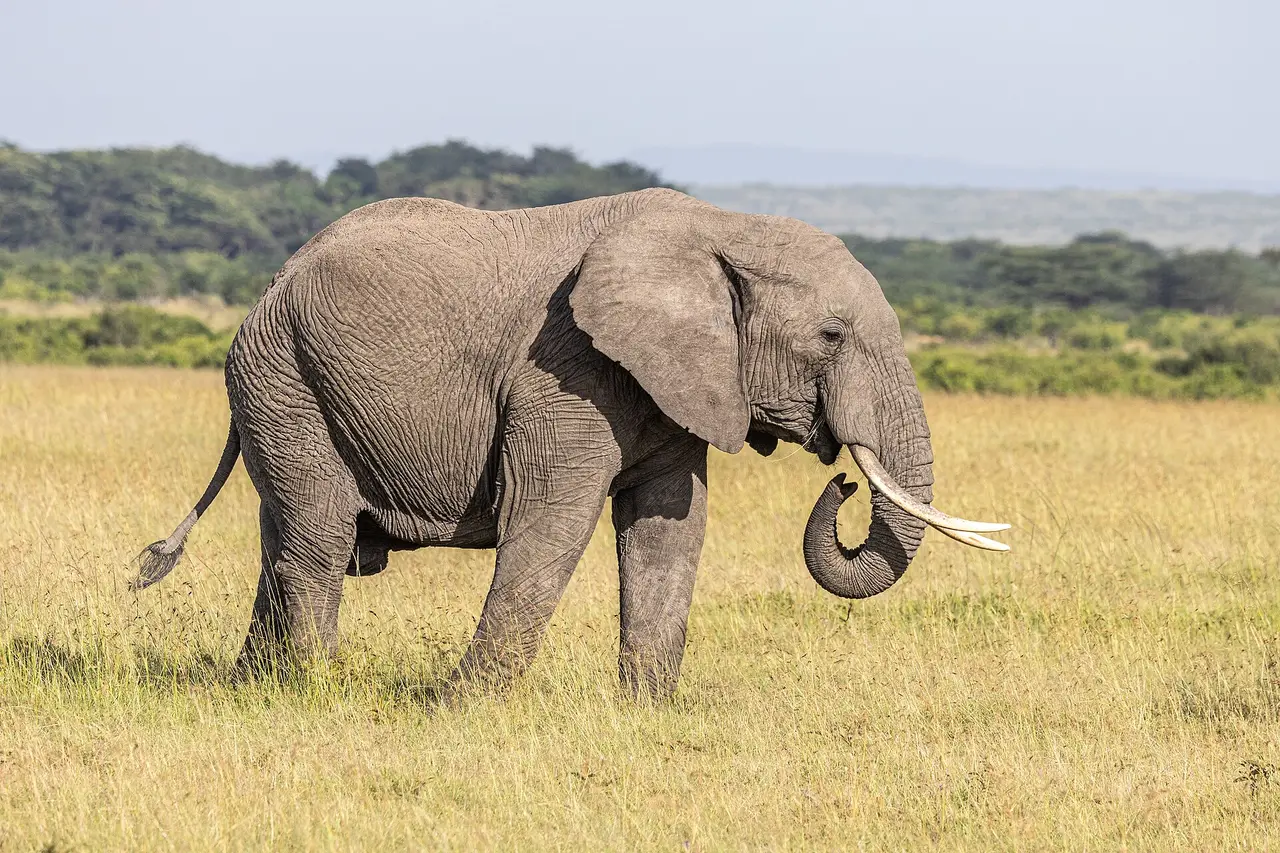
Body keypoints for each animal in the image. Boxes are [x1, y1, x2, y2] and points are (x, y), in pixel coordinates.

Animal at [134, 187, 1008, 699]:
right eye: (830, 335)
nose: (845, 482)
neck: (721, 227)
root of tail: (274, 278)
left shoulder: (675, 382)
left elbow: (668, 529)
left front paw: (649, 710)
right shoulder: (564, 368)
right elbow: (551, 521)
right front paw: (463, 706)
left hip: (288, 386)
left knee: (282, 535)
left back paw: (253, 689)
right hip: (283, 376)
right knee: (316, 538)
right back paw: (313, 689)